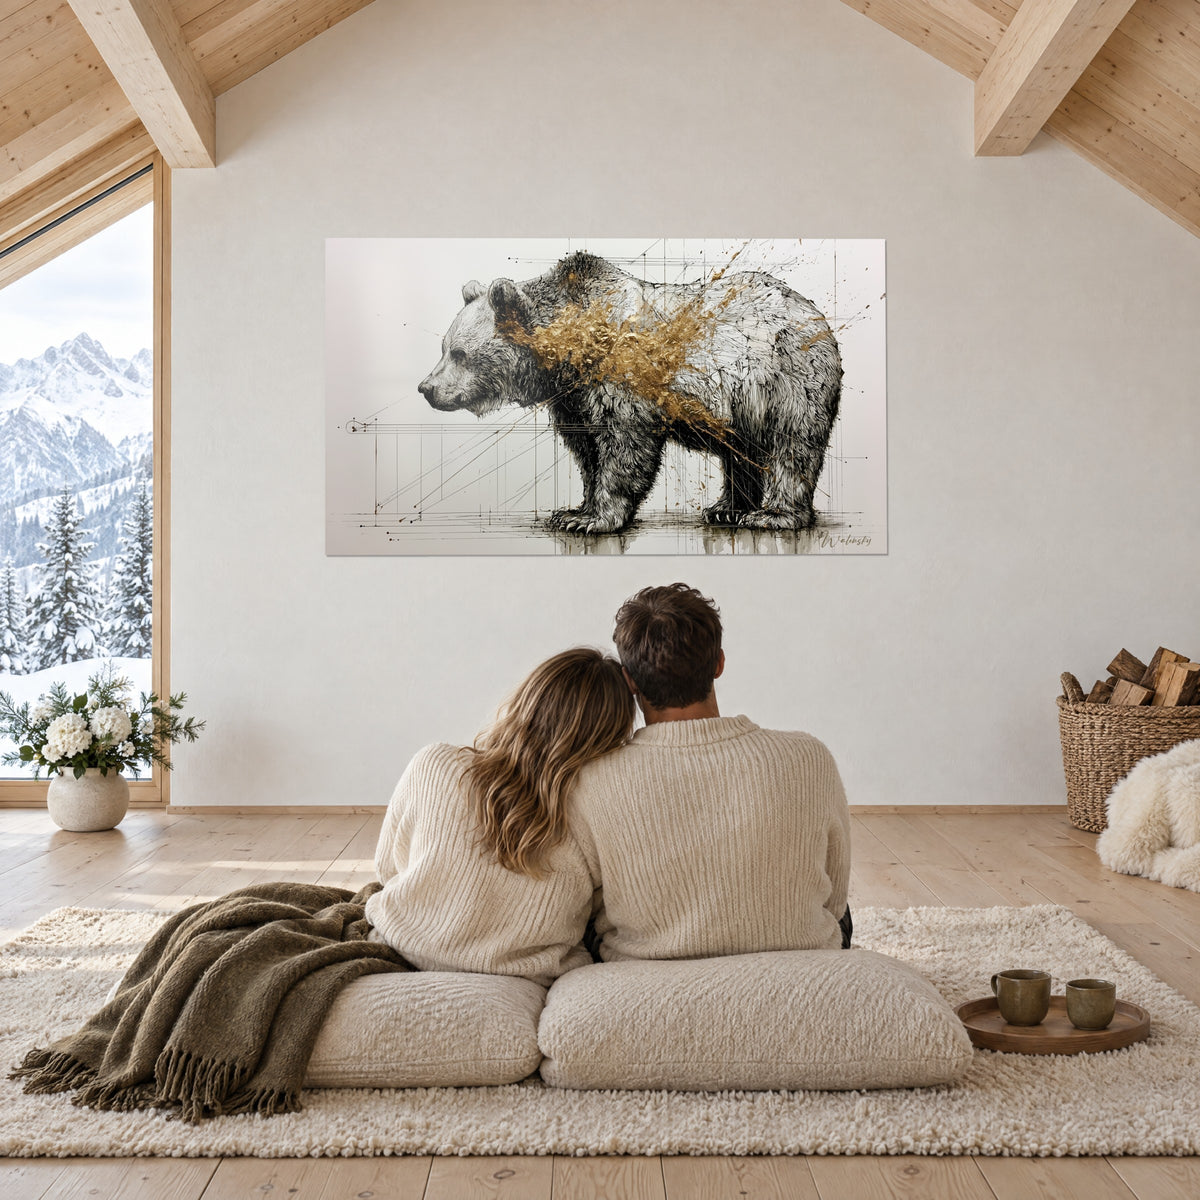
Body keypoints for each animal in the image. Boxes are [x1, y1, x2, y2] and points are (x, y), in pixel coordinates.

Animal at [417, 251, 842, 534]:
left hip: (783, 377)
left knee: (793, 445)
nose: (426, 388)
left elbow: (624, 445)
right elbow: (587, 450)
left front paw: (595, 519)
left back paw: (773, 515)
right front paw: (573, 511)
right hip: (742, 404)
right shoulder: (572, 398)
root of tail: (812, 310)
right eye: (444, 347)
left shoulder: (621, 380)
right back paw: (726, 508)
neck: (570, 352)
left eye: (460, 353)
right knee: (742, 450)